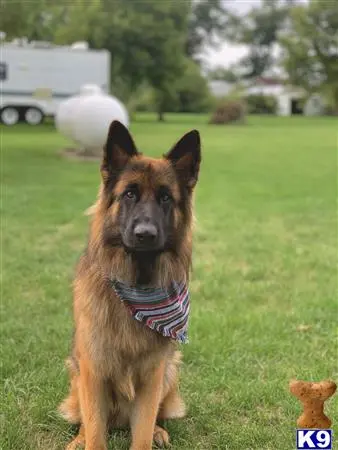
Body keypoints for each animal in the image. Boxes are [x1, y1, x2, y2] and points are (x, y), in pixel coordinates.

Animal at [59, 120, 201, 450]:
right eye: (129, 194)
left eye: (165, 198)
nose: (145, 234)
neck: (137, 285)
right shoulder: (94, 372)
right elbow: (96, 431)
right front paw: (87, 439)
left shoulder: (151, 376)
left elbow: (143, 431)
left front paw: (152, 432)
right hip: (77, 373)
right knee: (85, 418)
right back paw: (78, 438)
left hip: (169, 371)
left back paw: (160, 430)